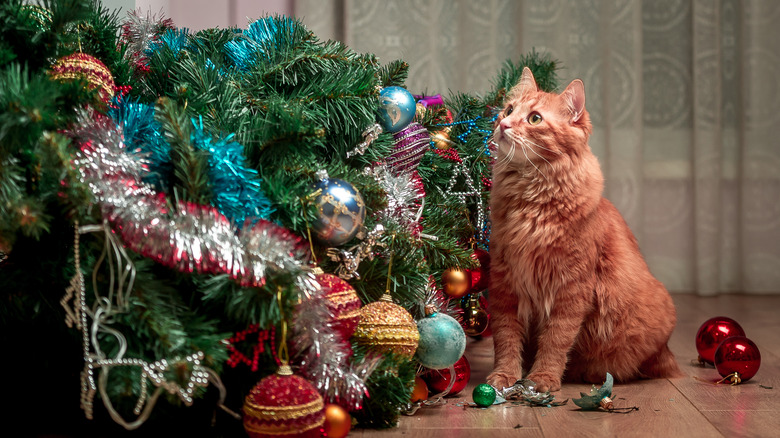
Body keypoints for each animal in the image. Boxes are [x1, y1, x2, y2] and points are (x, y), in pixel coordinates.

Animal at [490, 66, 680, 392]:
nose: (503, 124)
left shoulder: (572, 287)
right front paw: (504, 376)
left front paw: (542, 378)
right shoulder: (505, 283)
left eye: (534, 118)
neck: (530, 200)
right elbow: (506, 339)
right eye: (509, 109)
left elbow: (555, 340)